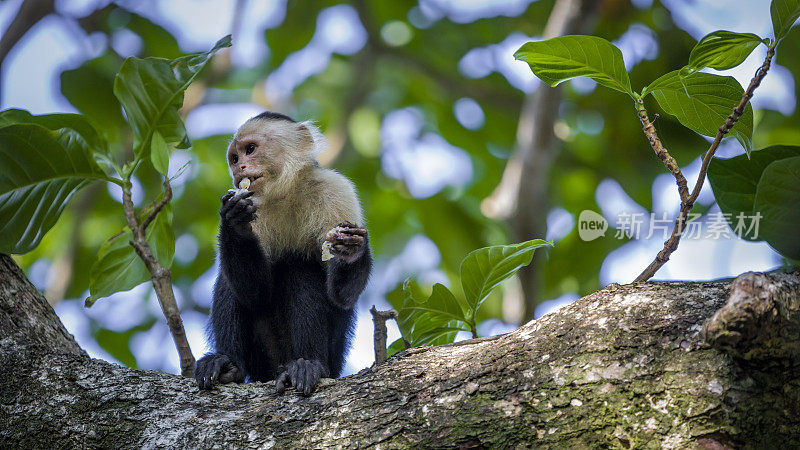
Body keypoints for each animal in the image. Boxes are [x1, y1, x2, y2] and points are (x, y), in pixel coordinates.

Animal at [194, 110, 372, 396]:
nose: (239, 168)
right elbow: (254, 292)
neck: (284, 193)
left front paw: (349, 251)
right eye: (234, 158)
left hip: (332, 357)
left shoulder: (336, 190)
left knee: (300, 269)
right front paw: (234, 221)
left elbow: (341, 295)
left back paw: (306, 365)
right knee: (231, 282)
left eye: (250, 150)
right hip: (261, 361)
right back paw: (227, 365)